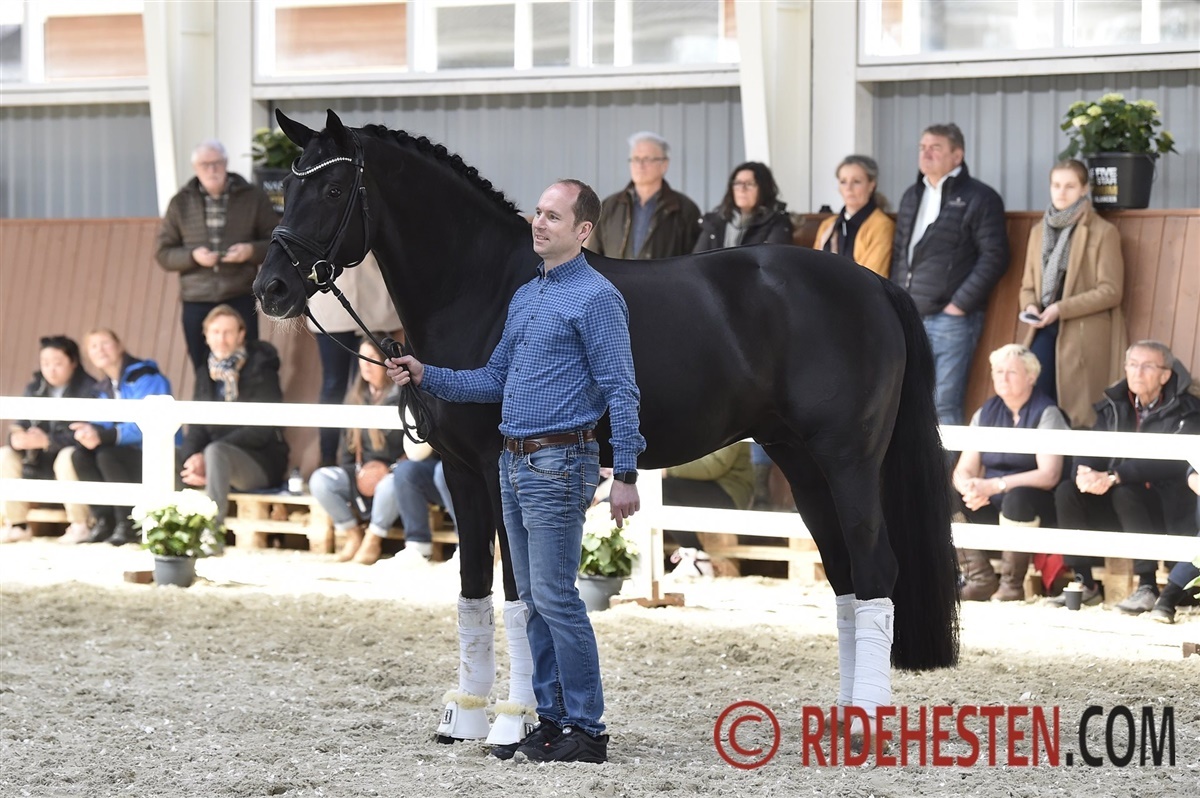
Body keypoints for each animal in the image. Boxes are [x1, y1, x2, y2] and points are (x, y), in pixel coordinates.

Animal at [253, 109, 960, 746]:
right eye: (286, 185)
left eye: (334, 191)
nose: (271, 289)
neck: (486, 287)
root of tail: (874, 286)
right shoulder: (460, 471)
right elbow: (473, 593)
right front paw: (466, 717)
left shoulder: (499, 469)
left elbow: (519, 595)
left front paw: (511, 723)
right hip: (802, 463)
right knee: (845, 577)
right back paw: (839, 721)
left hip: (847, 462)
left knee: (874, 569)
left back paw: (866, 723)